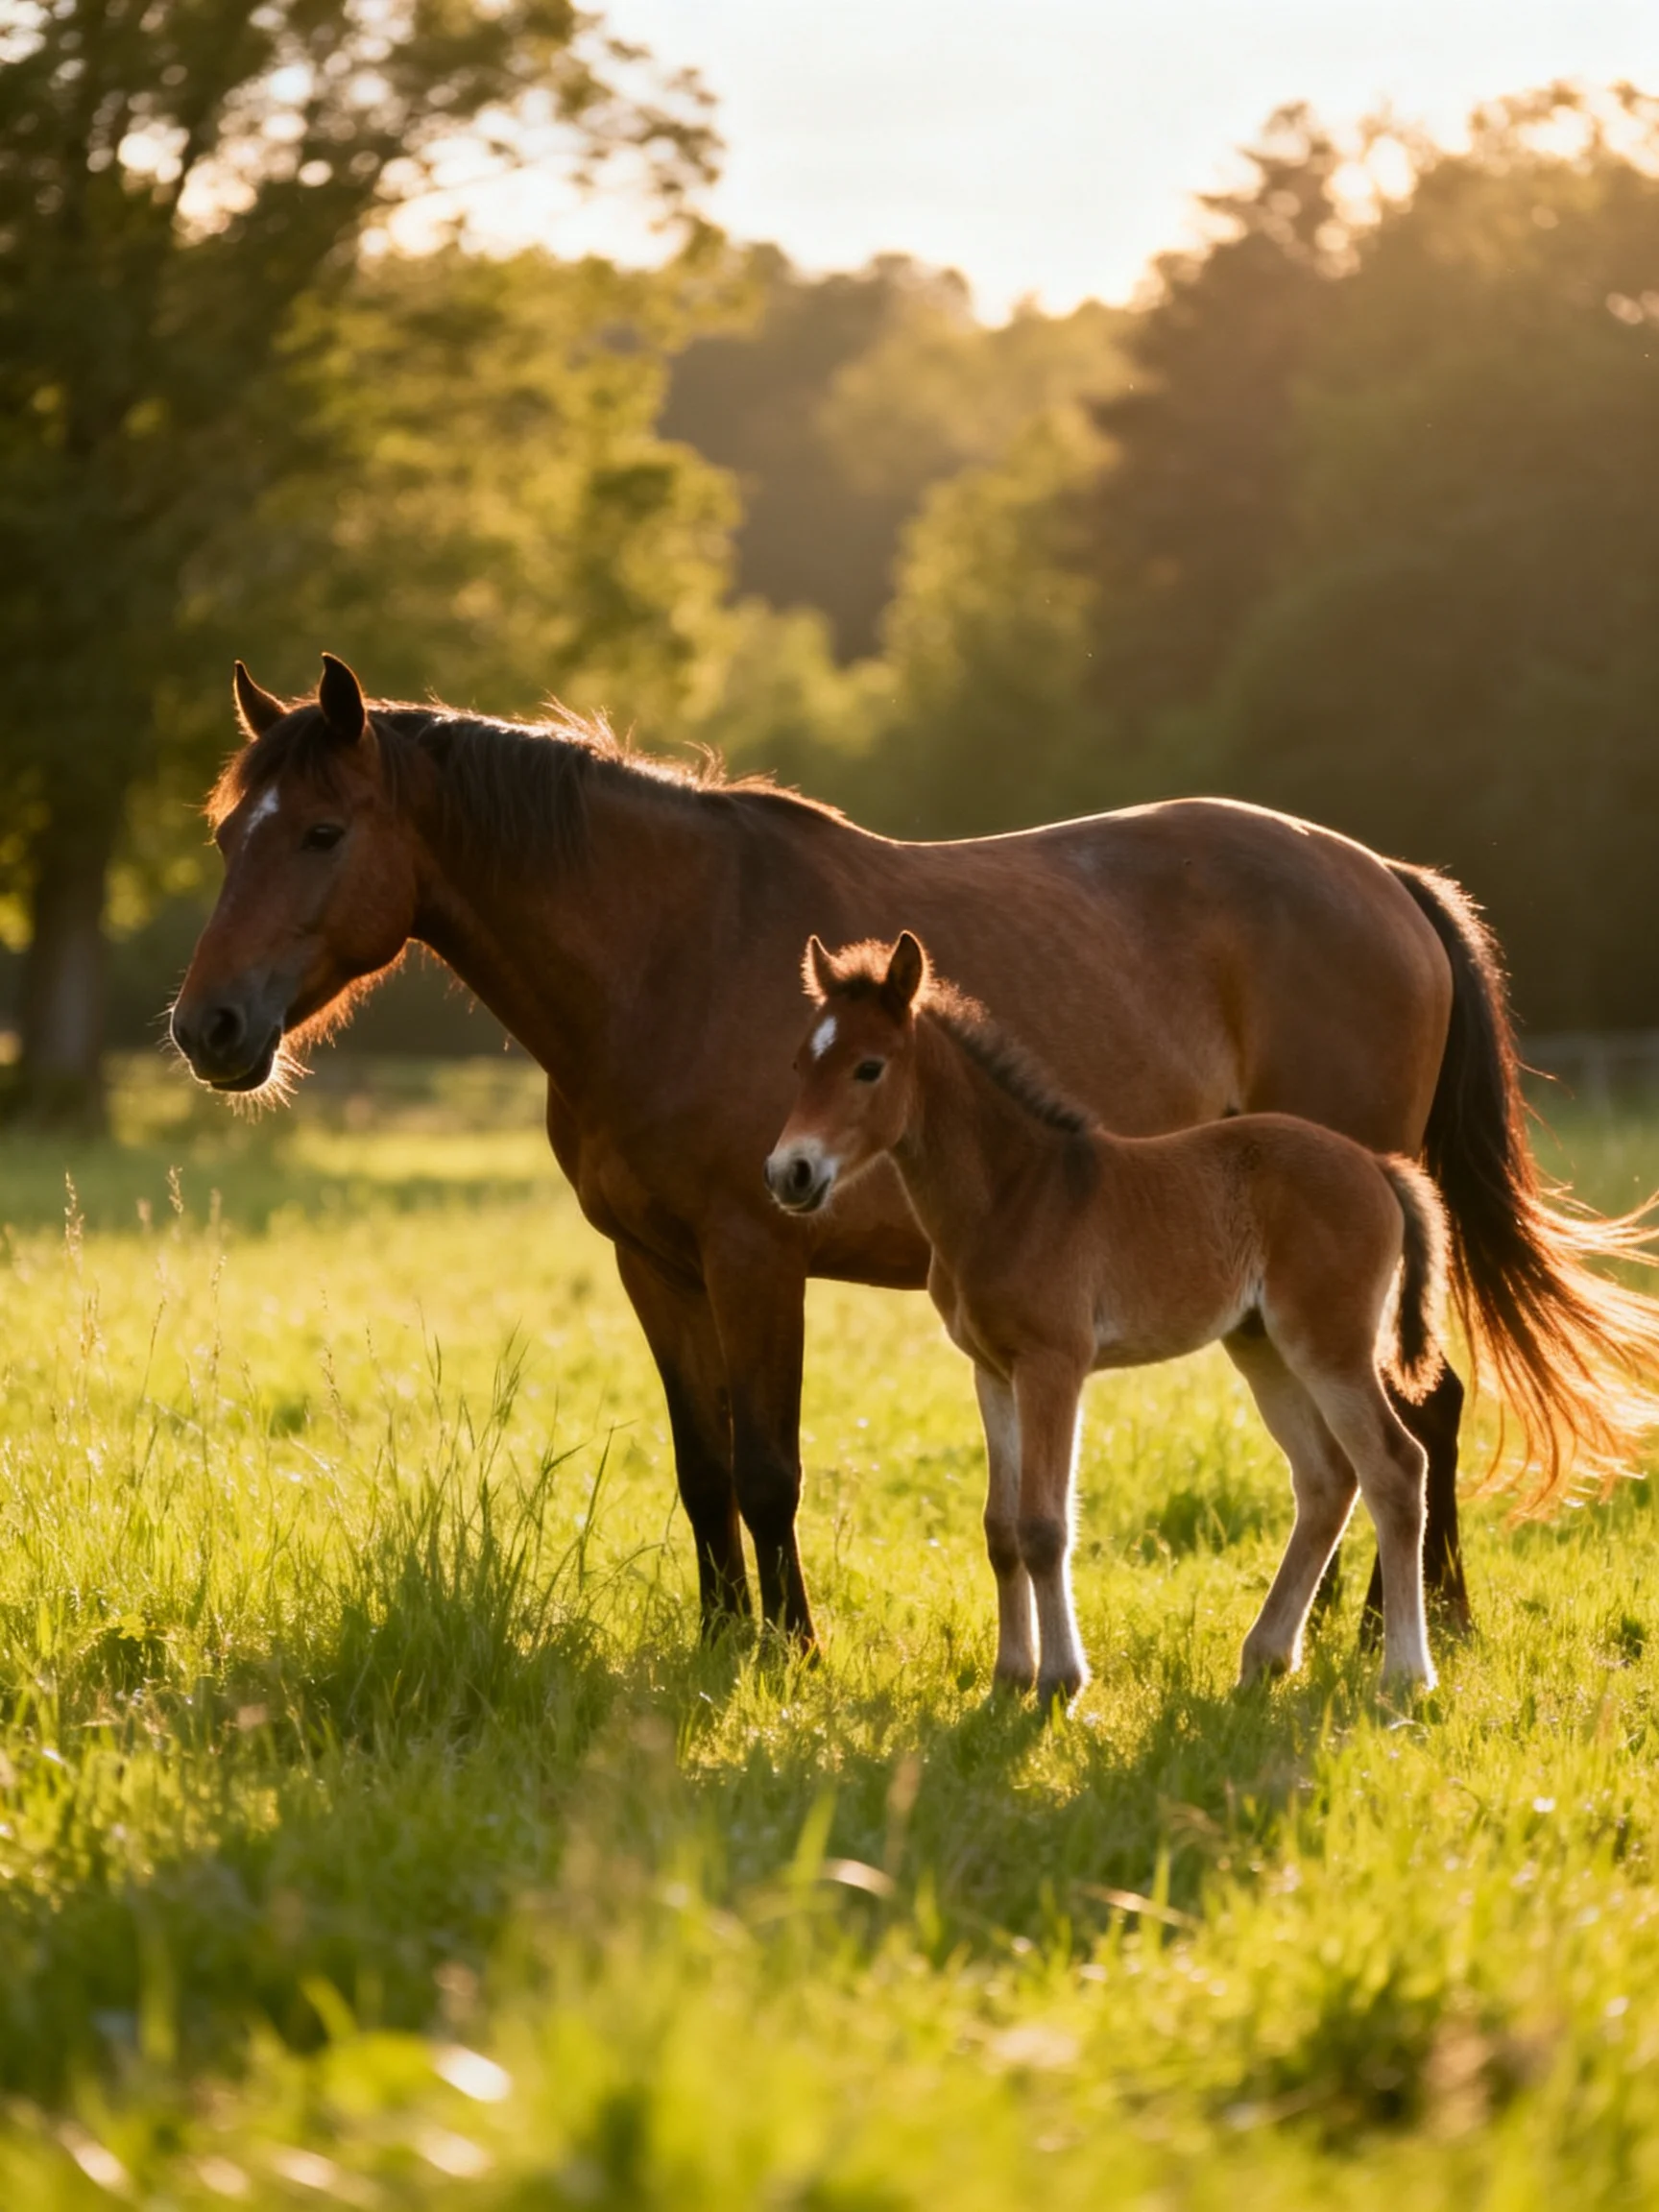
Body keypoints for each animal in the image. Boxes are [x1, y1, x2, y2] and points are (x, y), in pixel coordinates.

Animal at [767, 932, 1452, 1703]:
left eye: (868, 1067)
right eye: (800, 1064)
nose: (789, 1173)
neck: (1012, 1194)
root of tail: (1377, 1165)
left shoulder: (1054, 1364)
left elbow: (1043, 1525)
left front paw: (1060, 1682)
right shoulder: (992, 1370)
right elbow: (1000, 1528)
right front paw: (1009, 1677)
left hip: (1329, 1345)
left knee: (1394, 1468)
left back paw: (1406, 1675)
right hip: (1263, 1348)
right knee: (1327, 1478)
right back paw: (1265, 1658)